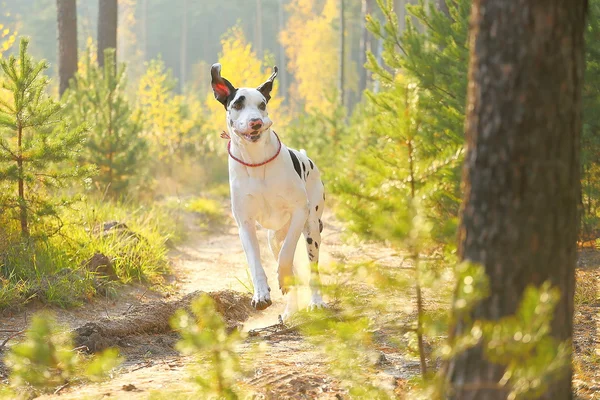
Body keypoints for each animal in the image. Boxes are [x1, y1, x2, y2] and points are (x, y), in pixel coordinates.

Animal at [210, 64, 326, 320]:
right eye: (238, 104)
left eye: (262, 104)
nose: (256, 122)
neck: (256, 162)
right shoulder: (244, 223)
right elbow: (255, 262)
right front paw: (261, 294)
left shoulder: (299, 211)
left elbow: (287, 253)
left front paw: (282, 276)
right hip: (274, 237)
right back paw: (290, 311)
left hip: (312, 229)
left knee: (311, 268)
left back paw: (316, 301)